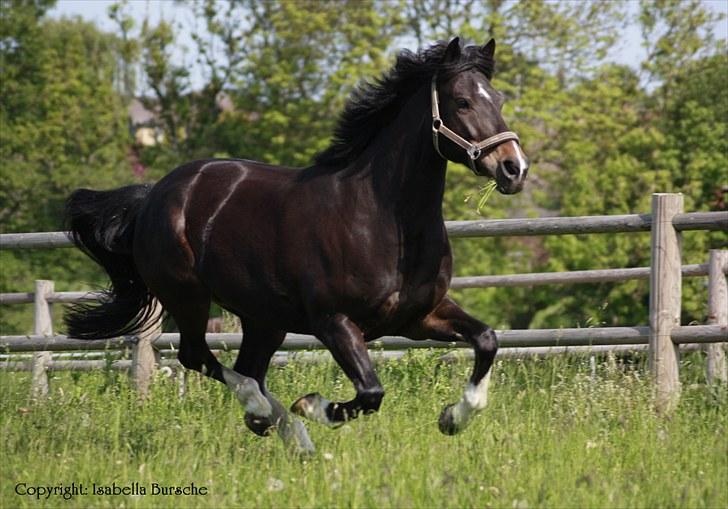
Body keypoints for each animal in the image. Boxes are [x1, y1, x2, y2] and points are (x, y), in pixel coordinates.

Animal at [64, 38, 528, 452]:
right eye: (462, 102)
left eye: (499, 99)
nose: (514, 168)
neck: (382, 219)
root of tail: (154, 196)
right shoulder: (334, 322)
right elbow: (370, 393)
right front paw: (311, 405)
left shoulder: (418, 317)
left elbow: (487, 340)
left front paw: (452, 418)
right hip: (189, 297)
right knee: (201, 358)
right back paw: (270, 416)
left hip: (264, 318)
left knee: (246, 367)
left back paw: (281, 430)